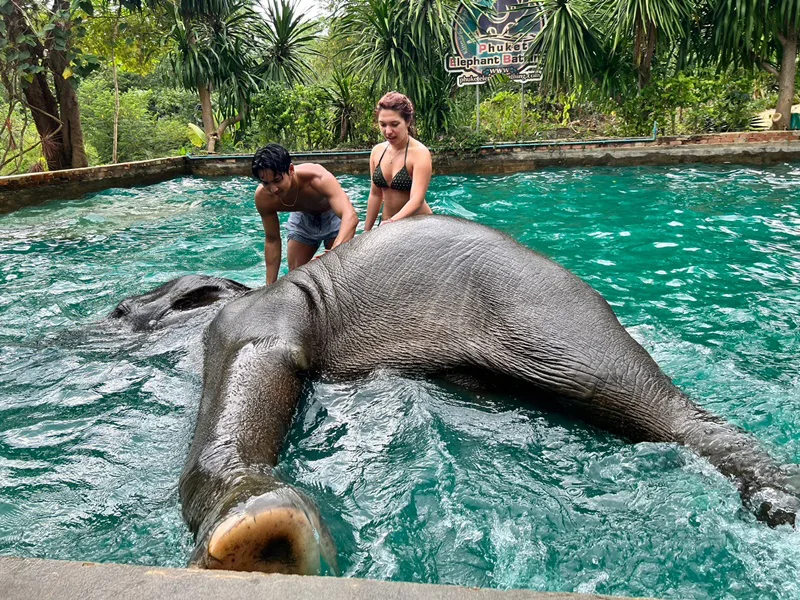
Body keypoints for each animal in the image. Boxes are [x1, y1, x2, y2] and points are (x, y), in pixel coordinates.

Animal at [118, 216, 799, 576]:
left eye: (122, 310)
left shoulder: (259, 315)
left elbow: (252, 352)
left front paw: (260, 538)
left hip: (544, 307)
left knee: (640, 398)